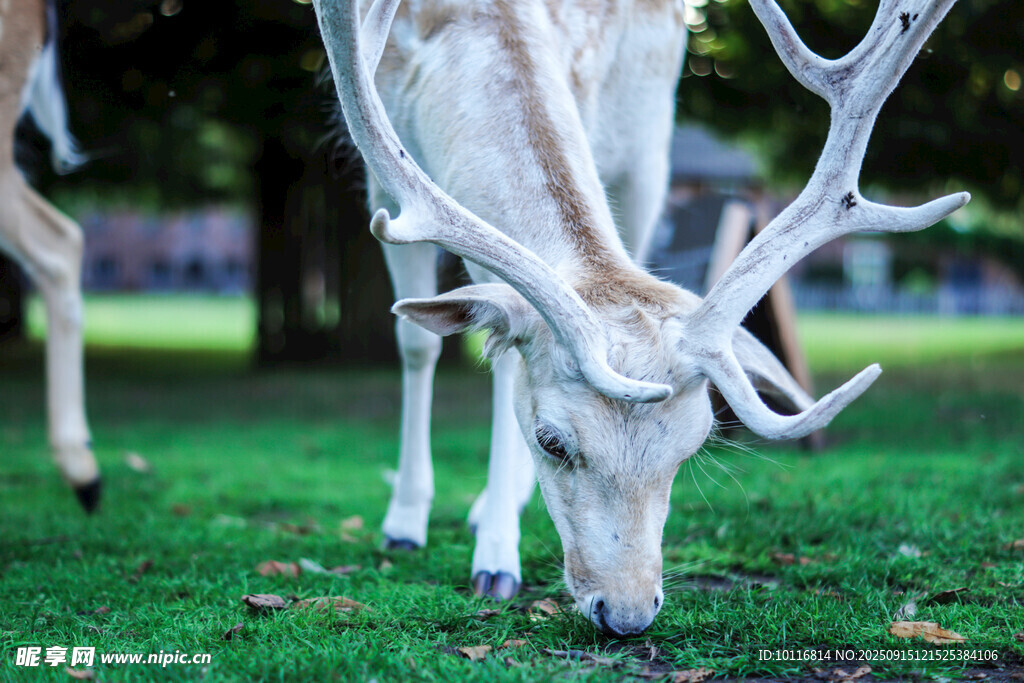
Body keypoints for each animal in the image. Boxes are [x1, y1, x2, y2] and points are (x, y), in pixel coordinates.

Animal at [312, 0, 967, 636]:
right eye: (551, 442)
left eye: (693, 444)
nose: (627, 614)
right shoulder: (381, 182)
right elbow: (418, 344)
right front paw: (411, 526)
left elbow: (501, 363)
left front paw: (496, 552)